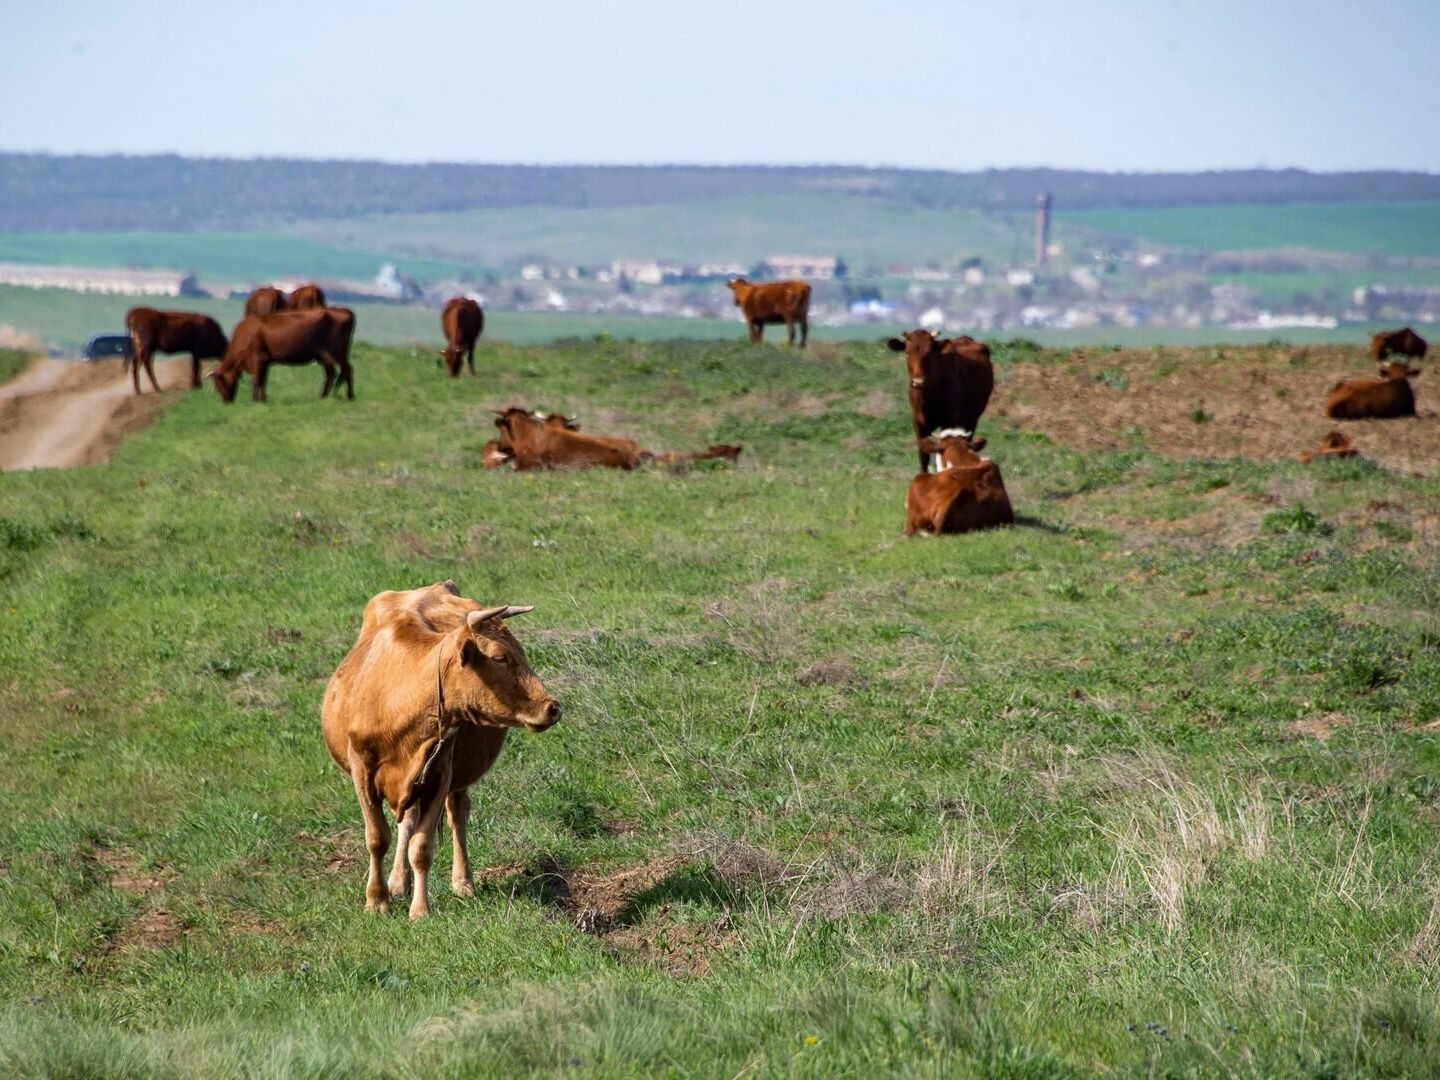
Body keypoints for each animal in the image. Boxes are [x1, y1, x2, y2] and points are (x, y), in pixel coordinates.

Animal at [210, 306, 357, 403]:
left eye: (218, 384)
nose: (226, 401)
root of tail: (343, 310)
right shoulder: (265, 361)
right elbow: (263, 381)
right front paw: (262, 400)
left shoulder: (258, 358)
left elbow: (257, 380)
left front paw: (254, 400)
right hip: (323, 355)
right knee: (332, 372)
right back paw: (324, 396)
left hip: (337, 350)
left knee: (347, 369)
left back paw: (350, 396)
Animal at [322, 578, 561, 915]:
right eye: (500, 657)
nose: (553, 708)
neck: (397, 697)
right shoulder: (362, 771)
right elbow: (377, 838)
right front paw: (377, 899)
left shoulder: (439, 773)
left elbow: (422, 847)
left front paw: (420, 909)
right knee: (407, 822)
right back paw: (398, 882)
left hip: (457, 775)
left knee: (456, 815)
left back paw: (463, 882)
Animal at [881, 332, 996, 472]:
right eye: (907, 352)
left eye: (930, 353)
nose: (918, 382)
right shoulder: (918, 422)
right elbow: (923, 455)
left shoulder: (950, 421)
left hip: (972, 418)